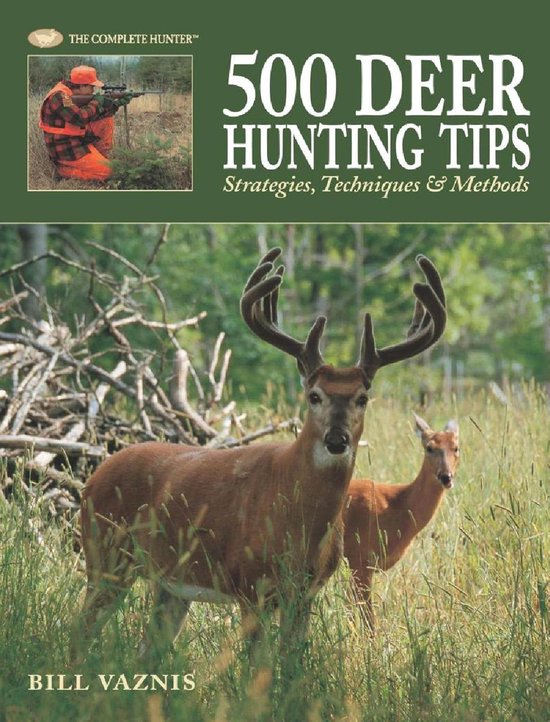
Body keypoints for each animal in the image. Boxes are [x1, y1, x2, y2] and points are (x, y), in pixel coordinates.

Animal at [72, 247, 446, 667]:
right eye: (314, 395)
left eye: (362, 397)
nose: (337, 439)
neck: (298, 519)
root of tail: (93, 476)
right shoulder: (250, 583)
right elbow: (256, 667)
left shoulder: (305, 591)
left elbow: (291, 665)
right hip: (105, 557)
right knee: (79, 632)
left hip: (169, 584)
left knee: (145, 650)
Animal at [343, 412, 460, 630]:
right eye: (429, 447)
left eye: (456, 447)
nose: (446, 477)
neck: (398, 505)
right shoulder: (359, 556)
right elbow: (368, 617)